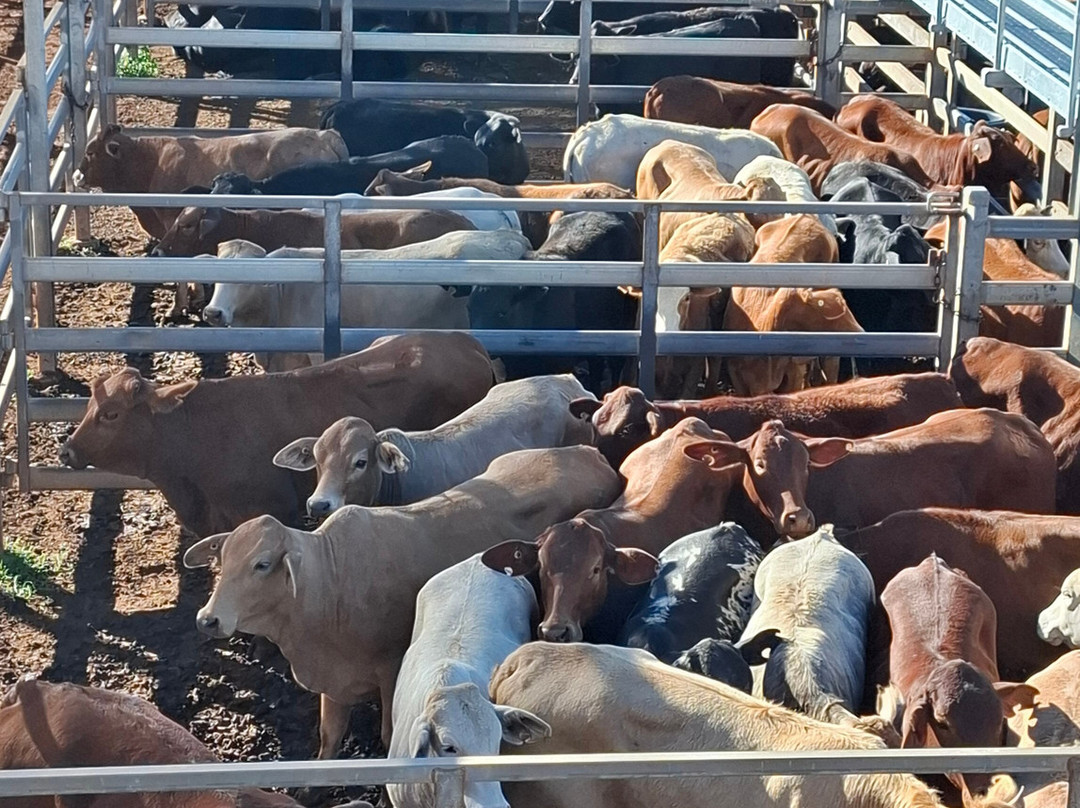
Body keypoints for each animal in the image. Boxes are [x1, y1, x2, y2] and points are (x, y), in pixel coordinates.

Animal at [184, 445, 620, 760]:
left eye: (261, 564)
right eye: (222, 561)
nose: (207, 619)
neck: (328, 585)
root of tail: (588, 452)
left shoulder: (389, 670)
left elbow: (388, 734)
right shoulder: (334, 682)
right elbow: (329, 736)